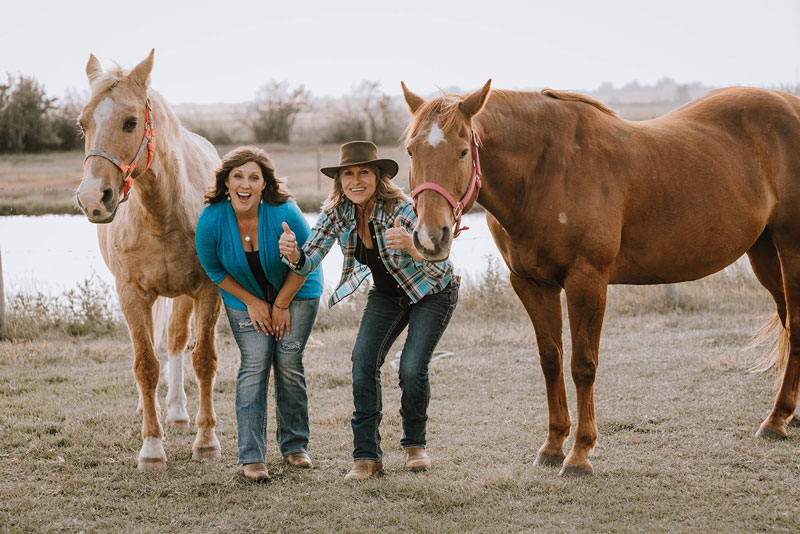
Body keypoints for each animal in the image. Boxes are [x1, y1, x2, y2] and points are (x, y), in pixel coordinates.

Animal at [76, 50, 222, 470]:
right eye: (82, 124)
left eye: (130, 121)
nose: (93, 198)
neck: (162, 212)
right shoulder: (131, 294)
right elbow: (145, 366)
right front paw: (152, 448)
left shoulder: (207, 290)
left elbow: (202, 359)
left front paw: (206, 441)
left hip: (184, 296)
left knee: (176, 342)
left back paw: (177, 411)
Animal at [401, 80, 800, 476]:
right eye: (410, 151)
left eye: (463, 151)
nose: (430, 236)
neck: (547, 171)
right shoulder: (531, 284)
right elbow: (551, 360)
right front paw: (552, 446)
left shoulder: (587, 280)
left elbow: (583, 365)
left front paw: (579, 453)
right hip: (764, 252)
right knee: (786, 321)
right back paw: (789, 414)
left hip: (789, 248)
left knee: (794, 325)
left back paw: (776, 420)